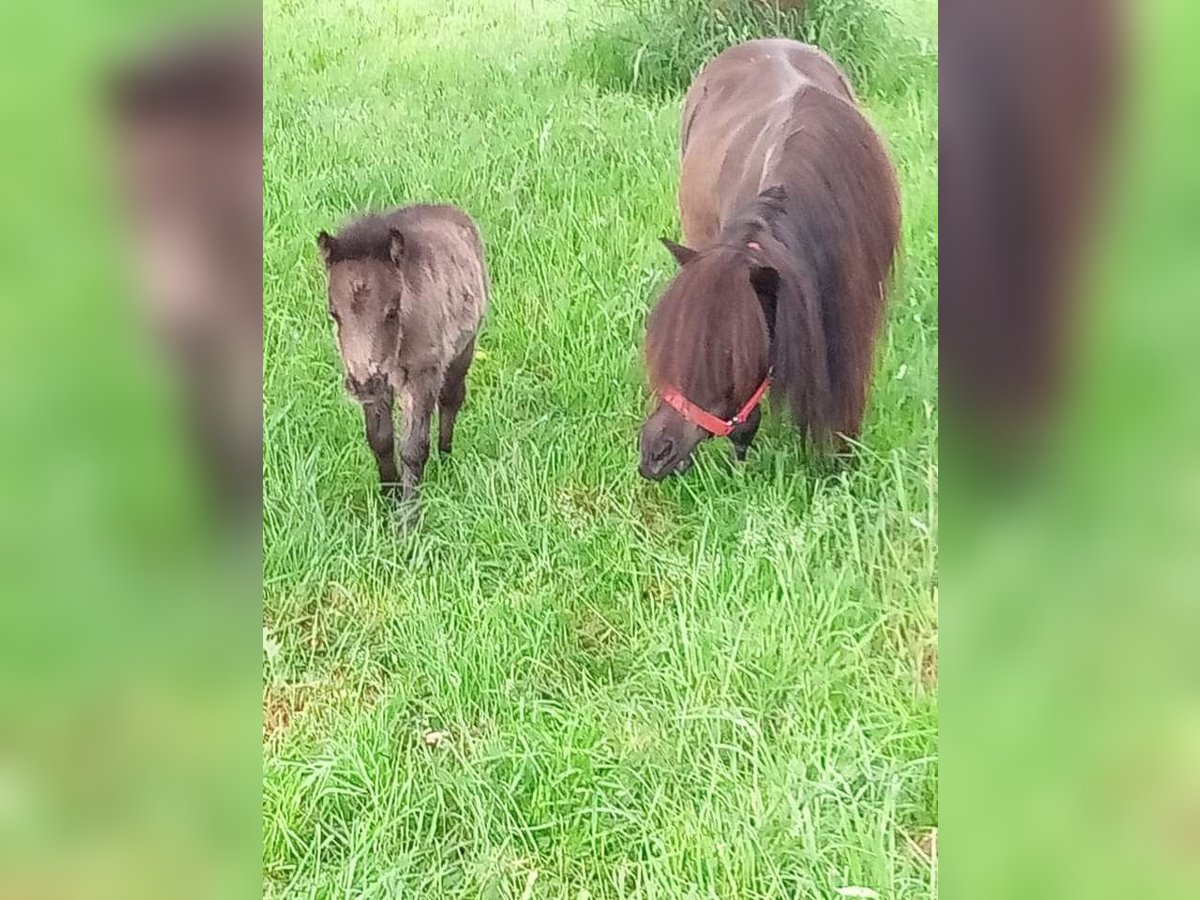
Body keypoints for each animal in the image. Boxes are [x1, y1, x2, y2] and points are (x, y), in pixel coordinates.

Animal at [319, 204, 492, 513]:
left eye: (391, 311)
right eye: (334, 314)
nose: (362, 384)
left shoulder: (424, 374)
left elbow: (413, 449)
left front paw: (408, 517)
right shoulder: (379, 384)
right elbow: (381, 440)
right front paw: (389, 498)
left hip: (464, 348)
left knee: (451, 398)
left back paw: (446, 459)